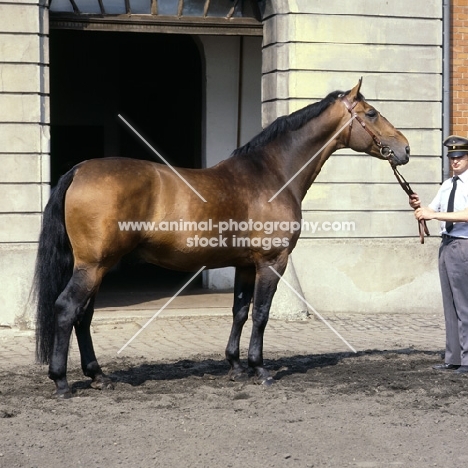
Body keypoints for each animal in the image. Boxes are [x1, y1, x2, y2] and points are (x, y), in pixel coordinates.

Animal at [34, 78, 410, 396]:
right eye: (372, 113)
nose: (405, 148)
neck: (272, 175)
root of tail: (78, 170)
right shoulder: (272, 262)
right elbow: (261, 313)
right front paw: (260, 370)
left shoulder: (244, 265)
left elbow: (240, 312)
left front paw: (236, 366)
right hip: (93, 266)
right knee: (67, 309)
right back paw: (61, 382)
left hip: (97, 267)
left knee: (84, 316)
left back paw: (98, 376)